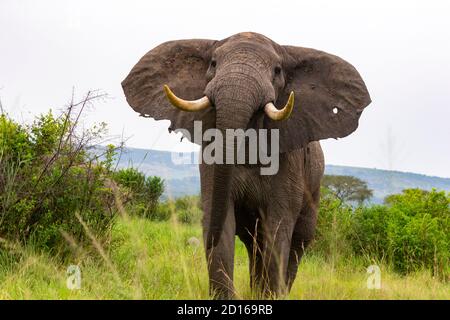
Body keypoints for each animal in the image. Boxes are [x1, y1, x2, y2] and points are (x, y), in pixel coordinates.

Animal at [121, 31, 370, 298]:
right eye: (213, 64)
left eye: (277, 70)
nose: (202, 241)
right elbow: (222, 217)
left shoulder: (289, 161)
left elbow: (279, 227)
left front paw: (269, 297)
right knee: (254, 245)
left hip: (313, 190)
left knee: (298, 242)